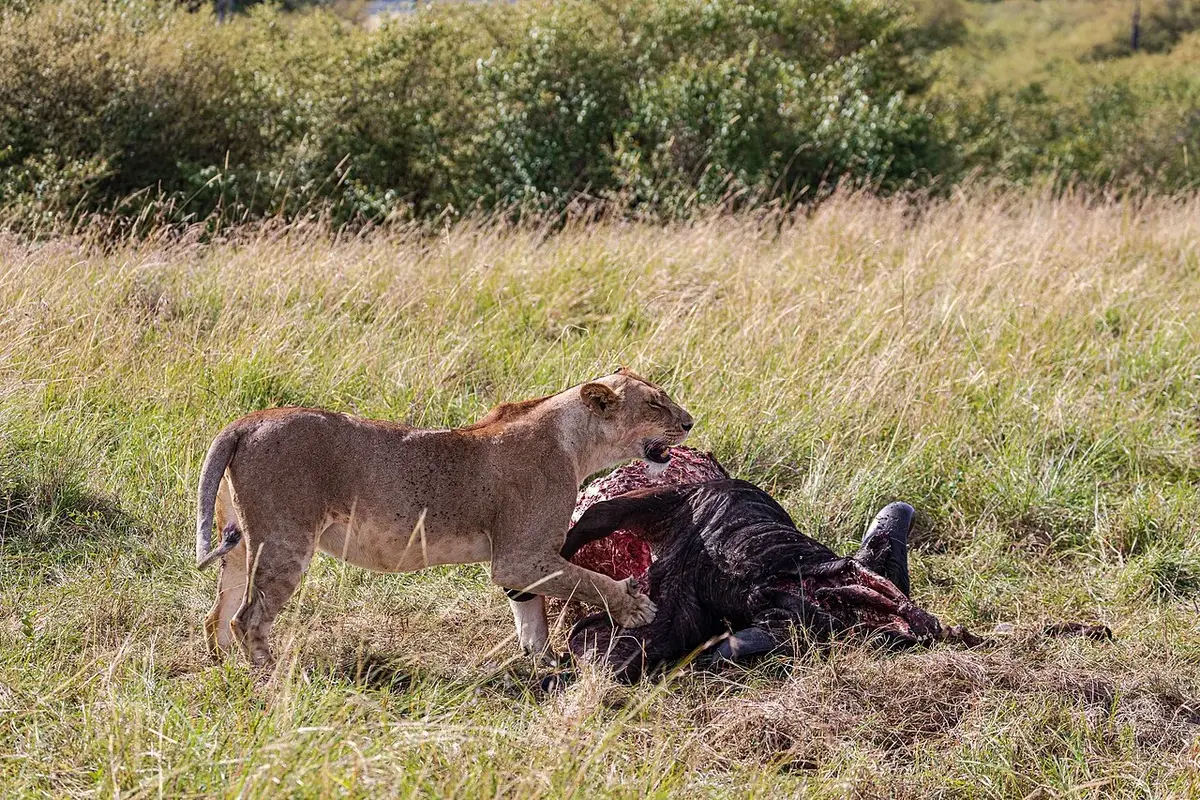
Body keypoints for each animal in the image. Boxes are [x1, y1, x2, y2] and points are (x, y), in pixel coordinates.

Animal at [194, 368, 694, 667]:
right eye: (656, 404)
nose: (689, 422)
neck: (577, 444)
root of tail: (248, 422)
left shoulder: (521, 565)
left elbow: (532, 616)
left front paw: (544, 665)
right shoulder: (520, 556)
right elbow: (590, 582)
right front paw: (635, 607)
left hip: (240, 542)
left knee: (218, 614)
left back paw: (224, 670)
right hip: (285, 542)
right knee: (248, 618)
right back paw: (271, 677)